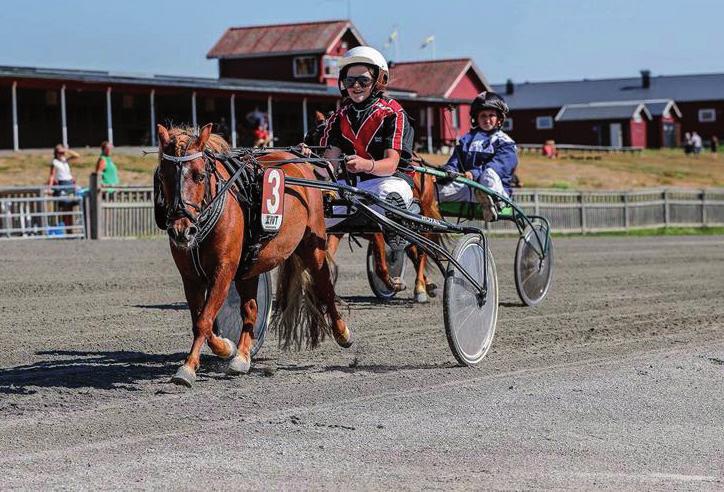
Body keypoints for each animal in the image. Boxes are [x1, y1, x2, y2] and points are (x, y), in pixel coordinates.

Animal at [156, 124, 350, 388]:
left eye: (199, 175)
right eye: (164, 175)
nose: (181, 230)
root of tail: (300, 161)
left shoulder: (224, 270)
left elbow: (204, 320)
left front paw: (187, 368)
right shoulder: (191, 276)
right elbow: (201, 320)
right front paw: (226, 348)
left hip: (313, 244)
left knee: (325, 287)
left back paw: (342, 332)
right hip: (250, 267)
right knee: (251, 311)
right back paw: (242, 356)